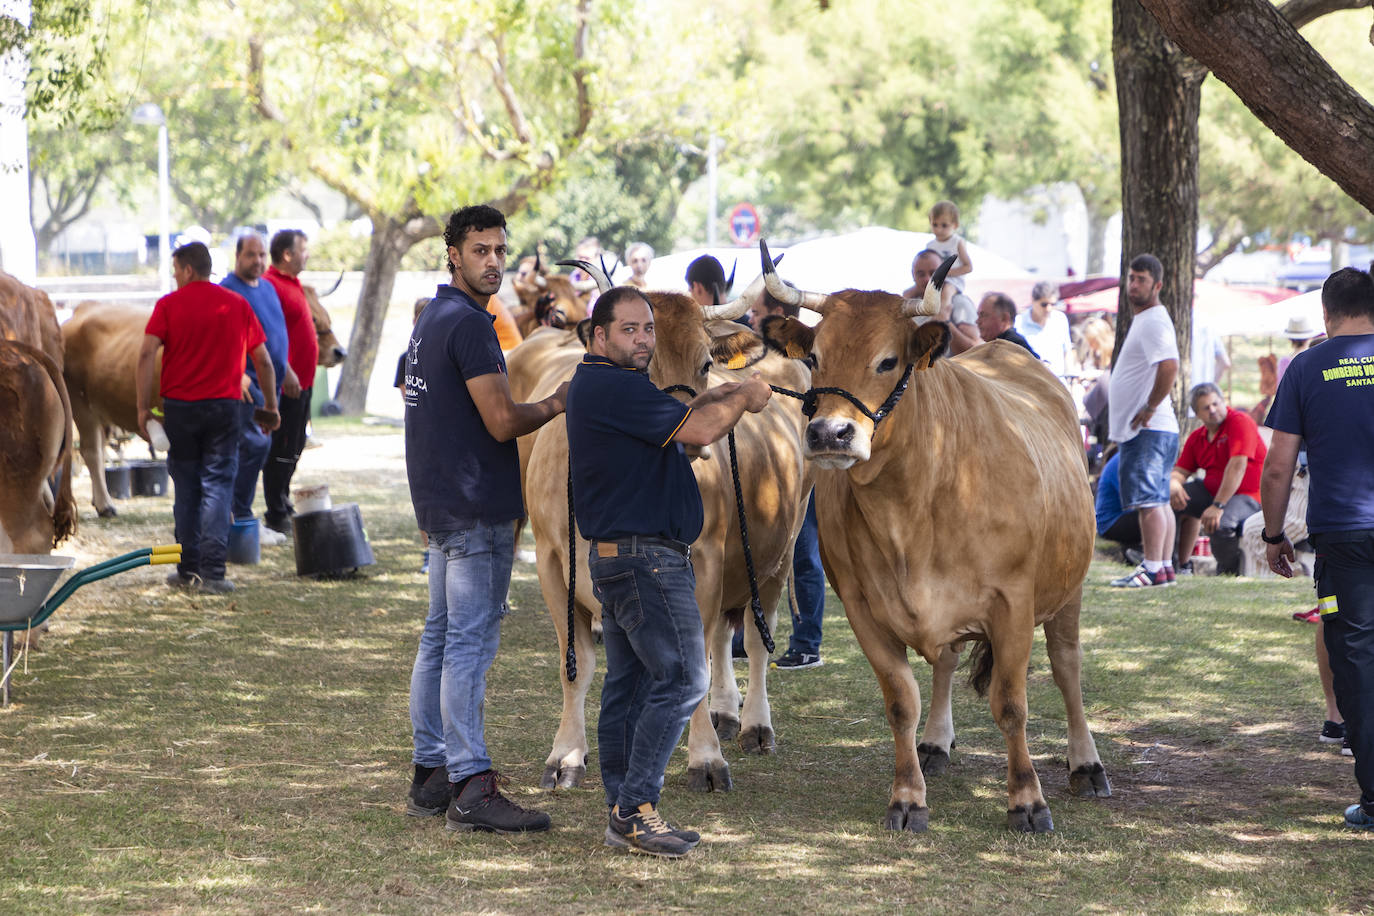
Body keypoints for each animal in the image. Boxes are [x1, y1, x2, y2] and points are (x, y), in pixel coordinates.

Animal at [63, 287, 343, 516]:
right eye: (311, 318)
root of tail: (82, 309)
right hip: (80, 403)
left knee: (97, 450)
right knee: (90, 451)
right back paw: (105, 505)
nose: (340, 352)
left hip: (99, 410)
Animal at [758, 241, 1110, 829]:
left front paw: (1026, 800)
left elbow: (1012, 704)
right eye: (814, 359)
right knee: (944, 662)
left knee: (1067, 667)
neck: (911, 509)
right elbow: (902, 701)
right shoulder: (862, 608)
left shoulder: (1013, 604)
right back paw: (936, 743)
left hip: (1069, 589)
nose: (829, 433)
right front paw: (907, 796)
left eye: (888, 361)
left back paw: (1087, 764)